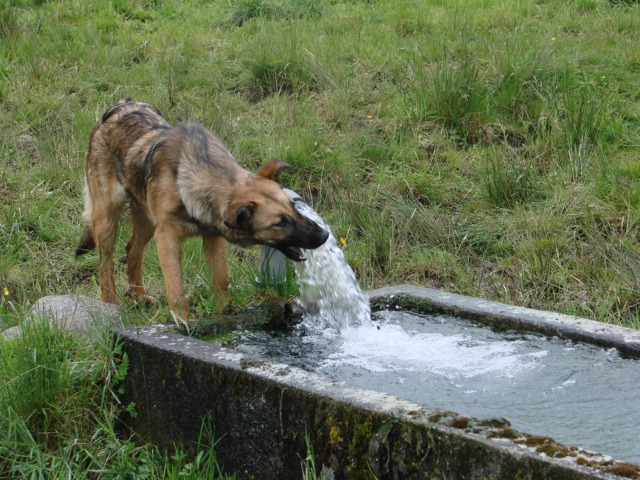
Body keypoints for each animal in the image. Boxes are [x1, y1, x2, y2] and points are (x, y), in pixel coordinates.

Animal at [77, 99, 330, 316]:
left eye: (293, 207)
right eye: (279, 223)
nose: (324, 235)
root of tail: (118, 107)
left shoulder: (212, 237)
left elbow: (221, 281)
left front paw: (225, 314)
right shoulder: (167, 238)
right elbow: (176, 290)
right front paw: (183, 325)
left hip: (146, 218)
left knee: (132, 250)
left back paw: (138, 295)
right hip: (108, 219)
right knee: (105, 266)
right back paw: (111, 306)